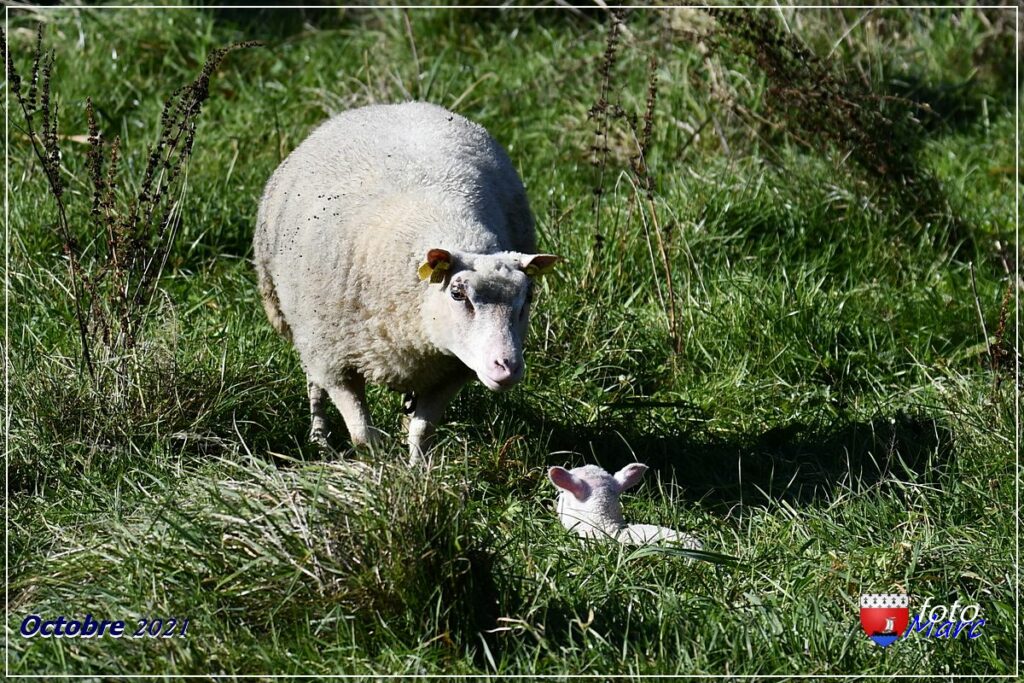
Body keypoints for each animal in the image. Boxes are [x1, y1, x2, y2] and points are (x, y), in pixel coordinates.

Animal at [256, 102, 561, 464]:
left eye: (527, 299)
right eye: (457, 294)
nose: (507, 366)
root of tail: (392, 105)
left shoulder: (449, 371)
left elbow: (422, 430)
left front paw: (417, 469)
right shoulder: (335, 359)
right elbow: (362, 435)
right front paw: (376, 468)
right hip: (303, 329)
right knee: (314, 383)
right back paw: (320, 439)